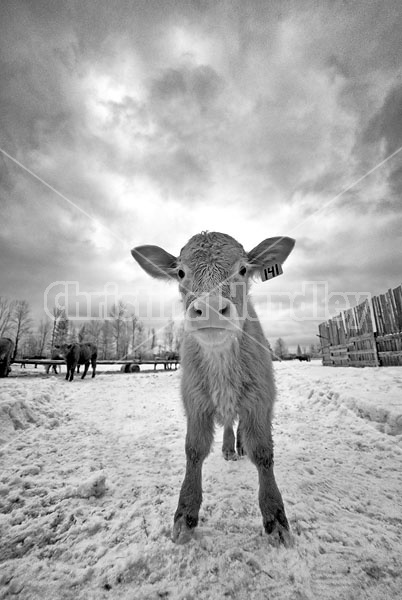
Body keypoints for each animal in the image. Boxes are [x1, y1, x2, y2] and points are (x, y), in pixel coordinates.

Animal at [132, 232, 296, 548]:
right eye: (181, 272)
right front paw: (185, 515)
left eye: (243, 269)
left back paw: (239, 447)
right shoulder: (194, 400)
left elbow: (263, 452)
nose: (209, 308)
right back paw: (228, 447)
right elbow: (194, 450)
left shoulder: (261, 398)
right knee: (229, 423)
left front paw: (276, 518)